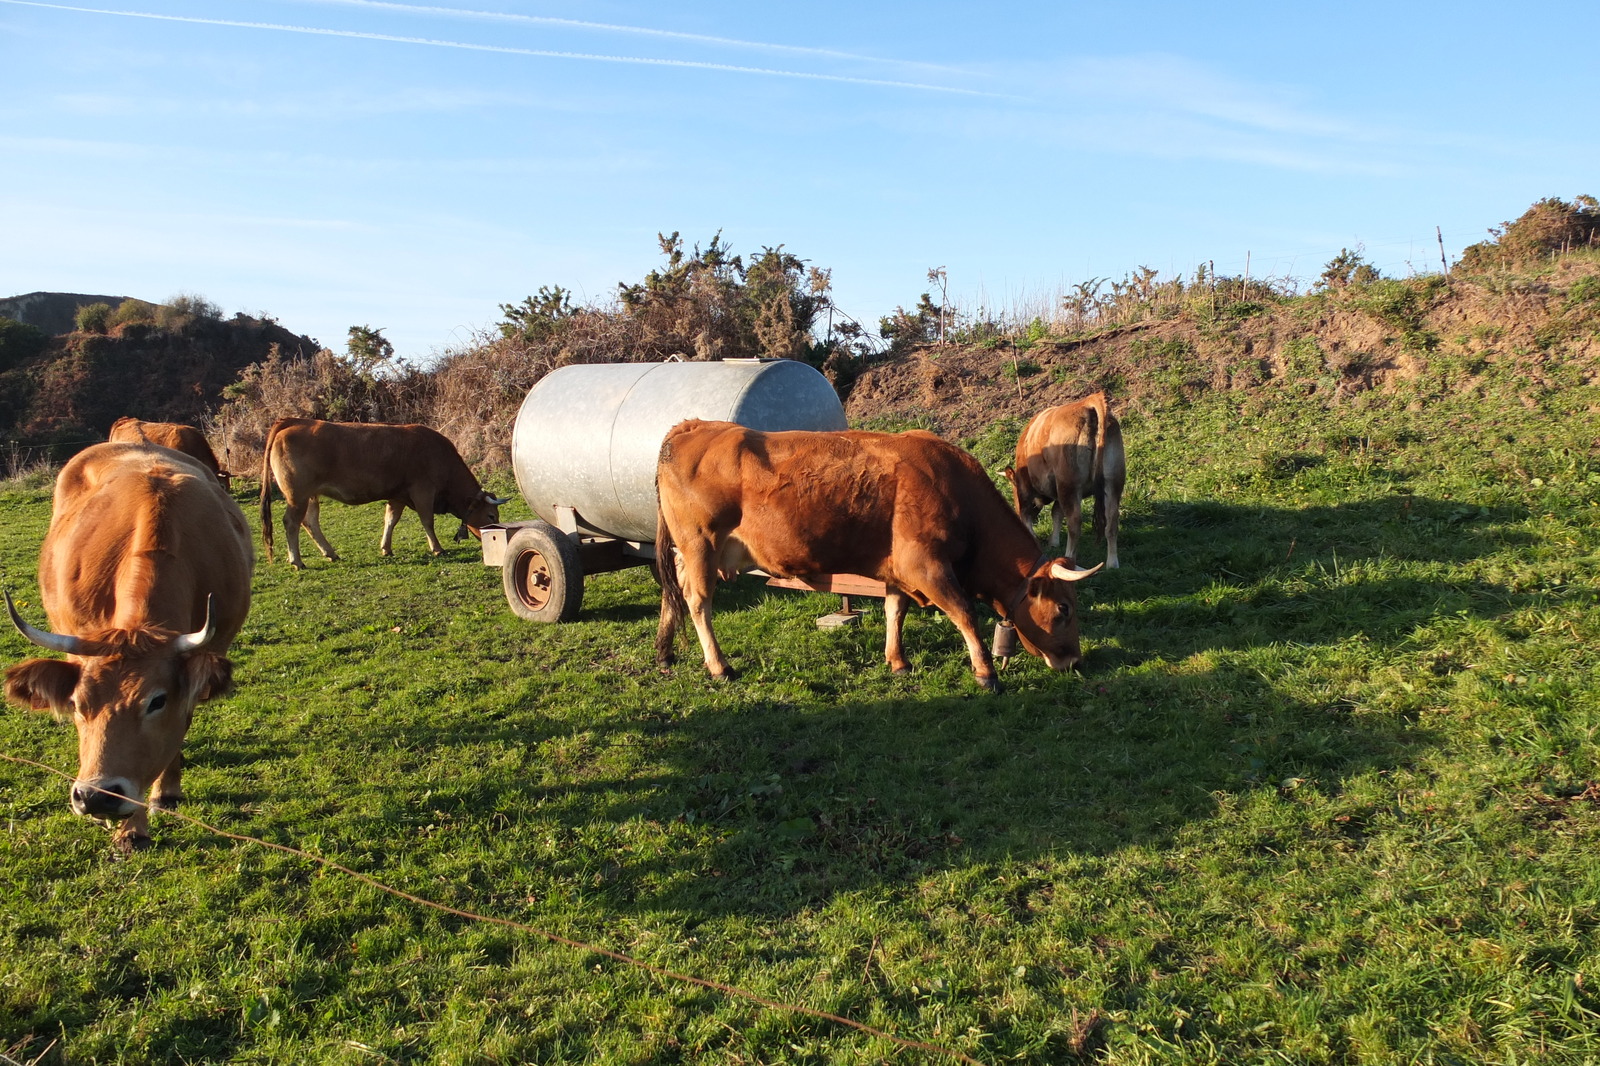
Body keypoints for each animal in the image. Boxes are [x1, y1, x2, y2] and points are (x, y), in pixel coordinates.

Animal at [257, 416, 505, 569]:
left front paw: (386, 548)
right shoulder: (423, 490)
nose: (491, 535)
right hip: (297, 495)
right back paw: (297, 561)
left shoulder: (397, 495)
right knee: (291, 522)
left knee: (310, 522)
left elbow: (390, 520)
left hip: (310, 495)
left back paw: (330, 553)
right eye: (491, 515)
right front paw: (437, 548)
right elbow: (427, 521)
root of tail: (293, 421)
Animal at [652, 419, 1100, 694]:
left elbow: (894, 612)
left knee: (673, 592)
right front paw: (986, 673)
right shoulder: (927, 567)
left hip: (688, 551)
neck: (958, 493)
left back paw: (665, 651)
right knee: (698, 601)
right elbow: (965, 614)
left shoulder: (898, 570)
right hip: (701, 544)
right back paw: (719, 666)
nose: (1076, 661)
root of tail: (691, 426)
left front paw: (898, 661)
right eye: (1064, 609)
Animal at [998, 390, 1126, 569]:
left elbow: (1028, 514)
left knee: (1074, 523)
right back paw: (1112, 563)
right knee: (1112, 521)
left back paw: (1069, 558)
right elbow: (1056, 512)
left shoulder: (1027, 488)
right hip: (1113, 482)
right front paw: (1053, 541)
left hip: (1069, 485)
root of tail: (1087, 403)